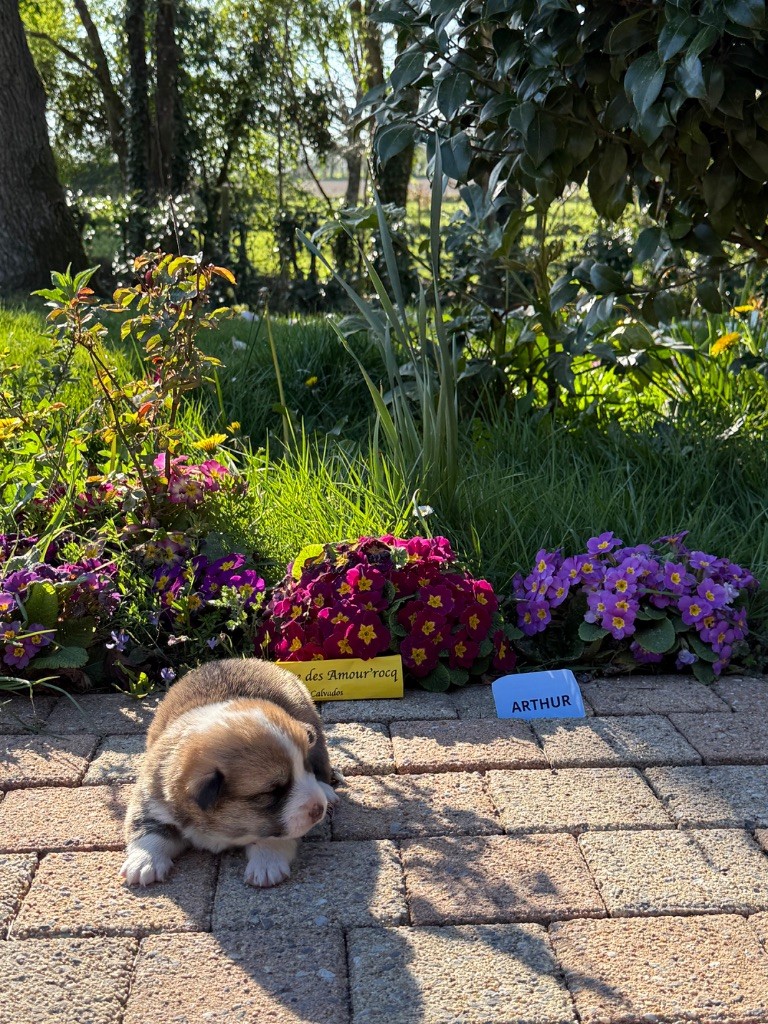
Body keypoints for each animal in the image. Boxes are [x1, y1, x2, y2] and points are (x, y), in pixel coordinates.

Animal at [121, 658, 339, 887]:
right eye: (272, 792)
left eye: (306, 768)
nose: (319, 809)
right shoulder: (151, 795)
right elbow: (147, 828)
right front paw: (145, 862)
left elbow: (272, 837)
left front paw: (267, 863)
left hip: (313, 726)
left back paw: (327, 791)